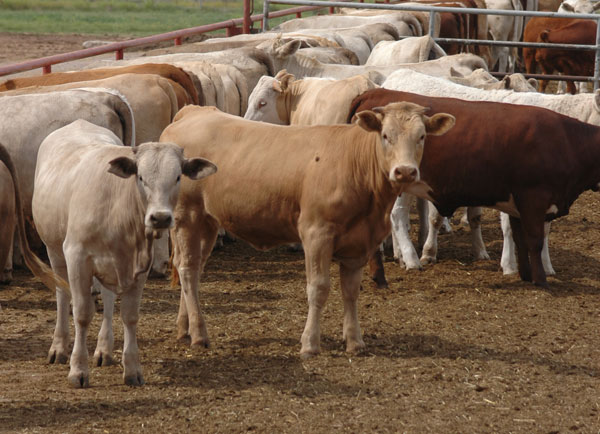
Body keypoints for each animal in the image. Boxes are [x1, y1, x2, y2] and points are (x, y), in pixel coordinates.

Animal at [32, 120, 216, 388]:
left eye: (177, 177)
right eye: (140, 177)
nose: (160, 218)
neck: (118, 207)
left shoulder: (139, 265)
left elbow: (129, 316)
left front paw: (132, 369)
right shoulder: (76, 255)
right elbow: (82, 313)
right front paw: (78, 370)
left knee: (108, 299)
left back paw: (104, 350)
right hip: (55, 251)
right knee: (62, 296)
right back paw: (59, 347)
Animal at [162, 103, 452, 358]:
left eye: (421, 136)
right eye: (385, 136)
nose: (405, 172)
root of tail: (193, 112)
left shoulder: (358, 243)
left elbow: (350, 291)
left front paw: (355, 341)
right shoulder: (316, 234)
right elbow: (318, 288)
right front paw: (310, 344)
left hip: (208, 222)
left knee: (194, 269)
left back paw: (184, 328)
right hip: (187, 216)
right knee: (188, 270)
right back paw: (199, 333)